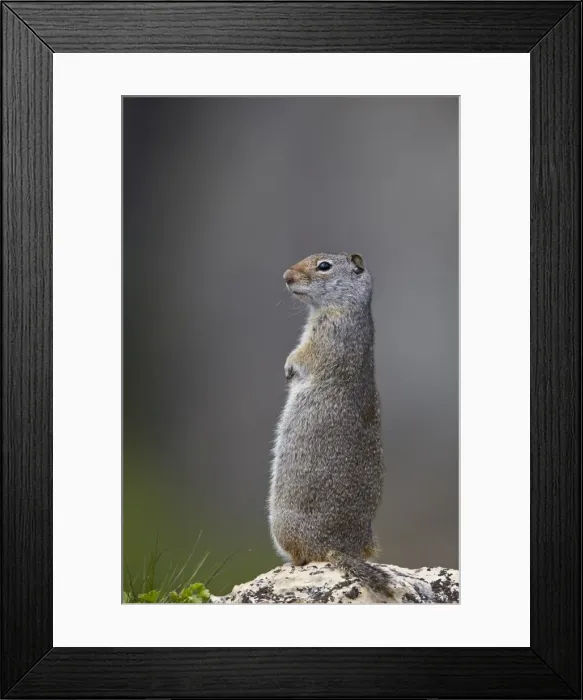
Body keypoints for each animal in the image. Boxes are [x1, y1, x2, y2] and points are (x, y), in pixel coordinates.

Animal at [268, 251, 398, 600]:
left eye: (324, 266)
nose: (285, 276)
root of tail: (338, 548)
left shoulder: (326, 332)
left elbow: (304, 355)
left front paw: (288, 367)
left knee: (303, 556)